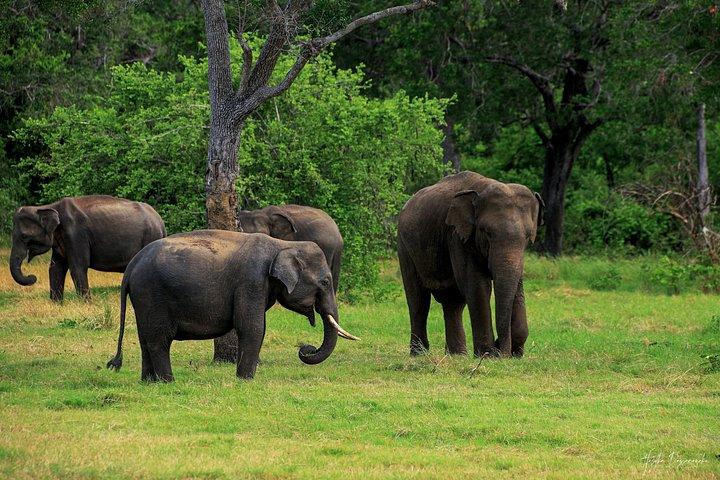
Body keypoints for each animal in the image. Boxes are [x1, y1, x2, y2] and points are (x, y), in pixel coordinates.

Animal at [10, 195, 166, 301]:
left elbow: (77, 267)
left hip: (150, 237)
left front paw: (86, 303)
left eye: (23, 236)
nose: (32, 277)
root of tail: (160, 221)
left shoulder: (75, 234)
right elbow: (55, 268)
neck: (50, 206)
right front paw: (56, 304)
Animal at [106, 230, 359, 381]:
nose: (305, 349)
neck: (282, 244)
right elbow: (252, 327)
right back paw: (169, 382)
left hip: (143, 298)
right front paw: (245, 380)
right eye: (325, 282)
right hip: (152, 293)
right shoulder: (251, 281)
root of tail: (131, 266)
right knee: (159, 339)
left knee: (145, 337)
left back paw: (150, 382)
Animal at [397, 171, 543, 358]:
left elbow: (517, 284)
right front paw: (487, 355)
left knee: (453, 302)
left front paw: (513, 354)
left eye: (527, 236)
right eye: (486, 232)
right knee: (418, 300)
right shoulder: (458, 237)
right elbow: (478, 286)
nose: (502, 351)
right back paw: (419, 354)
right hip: (405, 247)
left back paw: (456, 355)